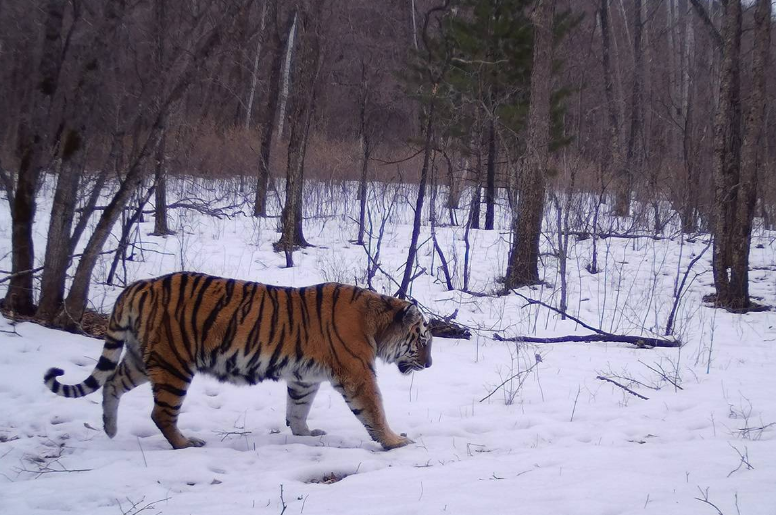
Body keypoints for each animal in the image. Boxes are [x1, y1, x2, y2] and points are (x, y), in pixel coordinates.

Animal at [43, 272, 433, 450]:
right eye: (424, 339)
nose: (430, 365)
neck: (377, 324)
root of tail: (141, 284)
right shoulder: (356, 374)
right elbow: (374, 409)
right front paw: (396, 441)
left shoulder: (304, 378)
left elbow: (297, 409)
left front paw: (305, 434)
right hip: (174, 364)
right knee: (161, 414)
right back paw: (186, 444)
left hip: (142, 358)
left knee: (111, 382)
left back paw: (109, 429)